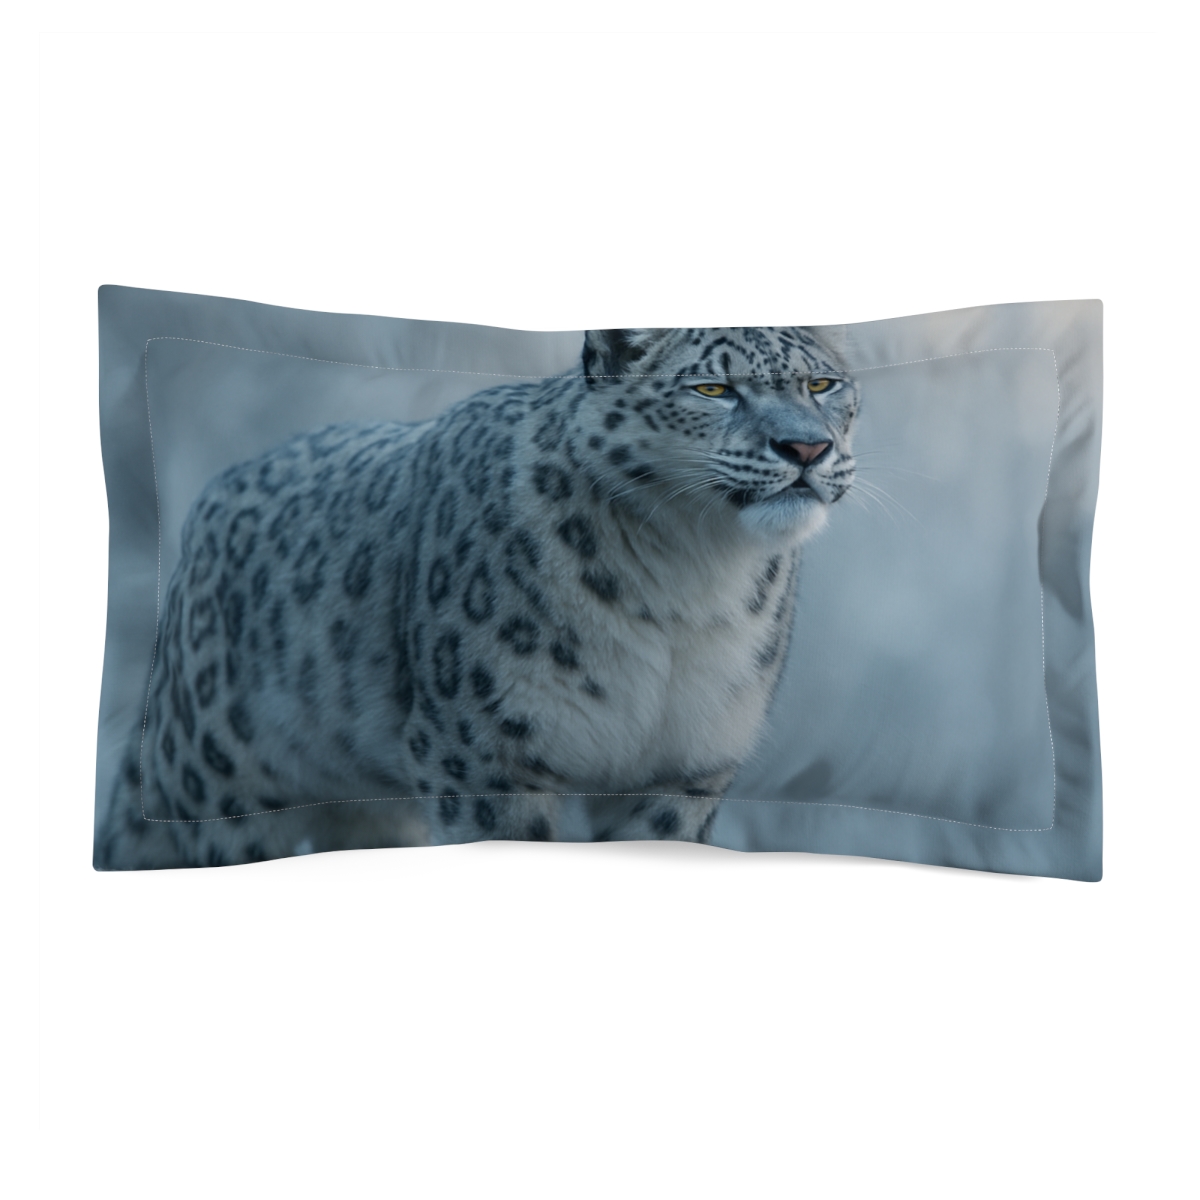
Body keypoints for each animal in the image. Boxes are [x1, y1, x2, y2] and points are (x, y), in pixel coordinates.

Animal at [96, 325, 859, 868]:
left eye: (823, 384)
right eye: (712, 389)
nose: (806, 448)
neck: (690, 584)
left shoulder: (687, 768)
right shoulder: (486, 752)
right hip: (227, 788)